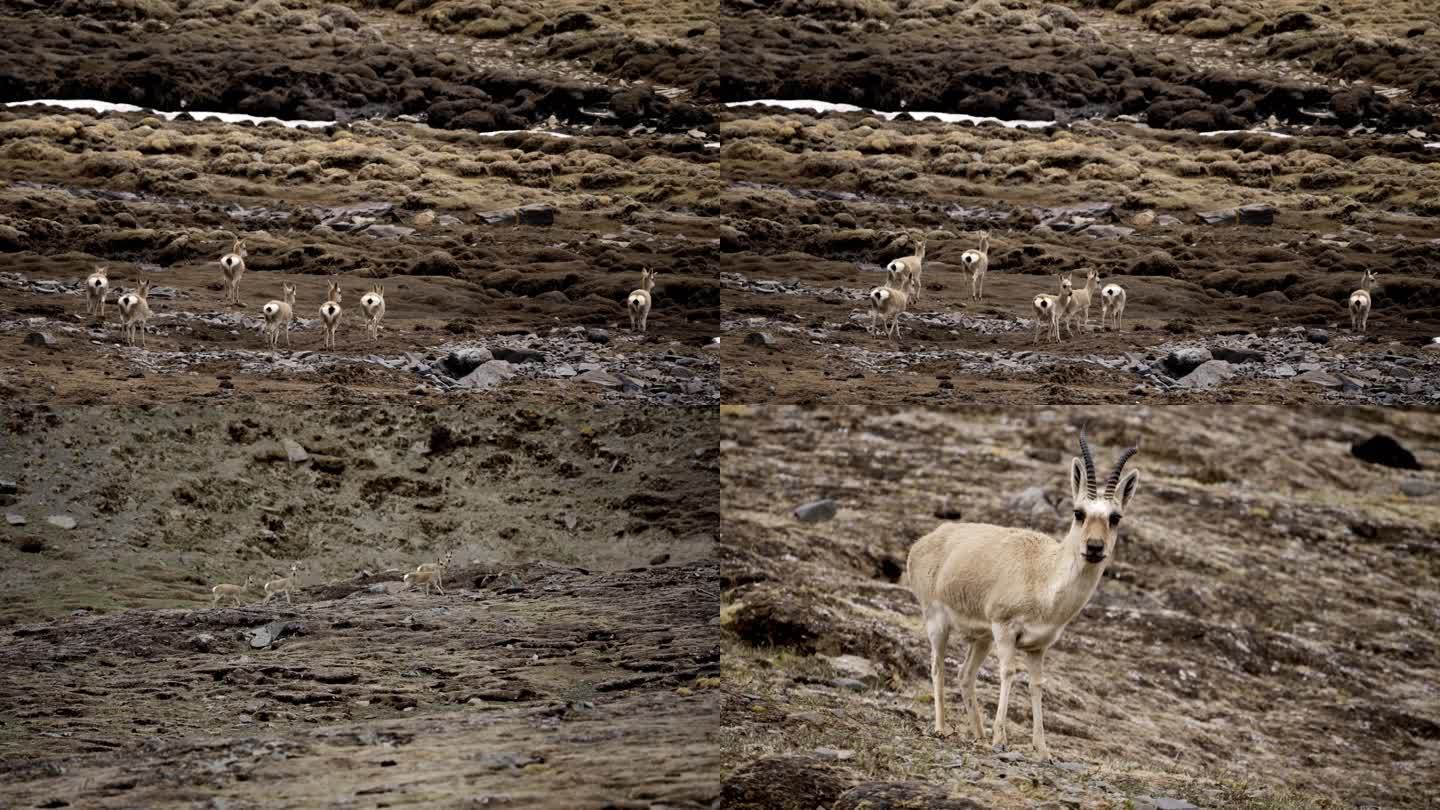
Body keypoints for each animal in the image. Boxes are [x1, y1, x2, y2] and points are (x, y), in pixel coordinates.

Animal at [904, 429, 1140, 755]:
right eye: (1078, 513)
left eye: (1115, 517)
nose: (1094, 547)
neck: (1043, 575)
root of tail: (925, 542)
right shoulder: (1005, 630)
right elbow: (1008, 673)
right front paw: (1000, 739)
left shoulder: (1037, 646)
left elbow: (1036, 684)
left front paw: (1043, 749)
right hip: (938, 623)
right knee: (938, 666)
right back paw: (942, 728)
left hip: (982, 637)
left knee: (965, 675)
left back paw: (978, 736)